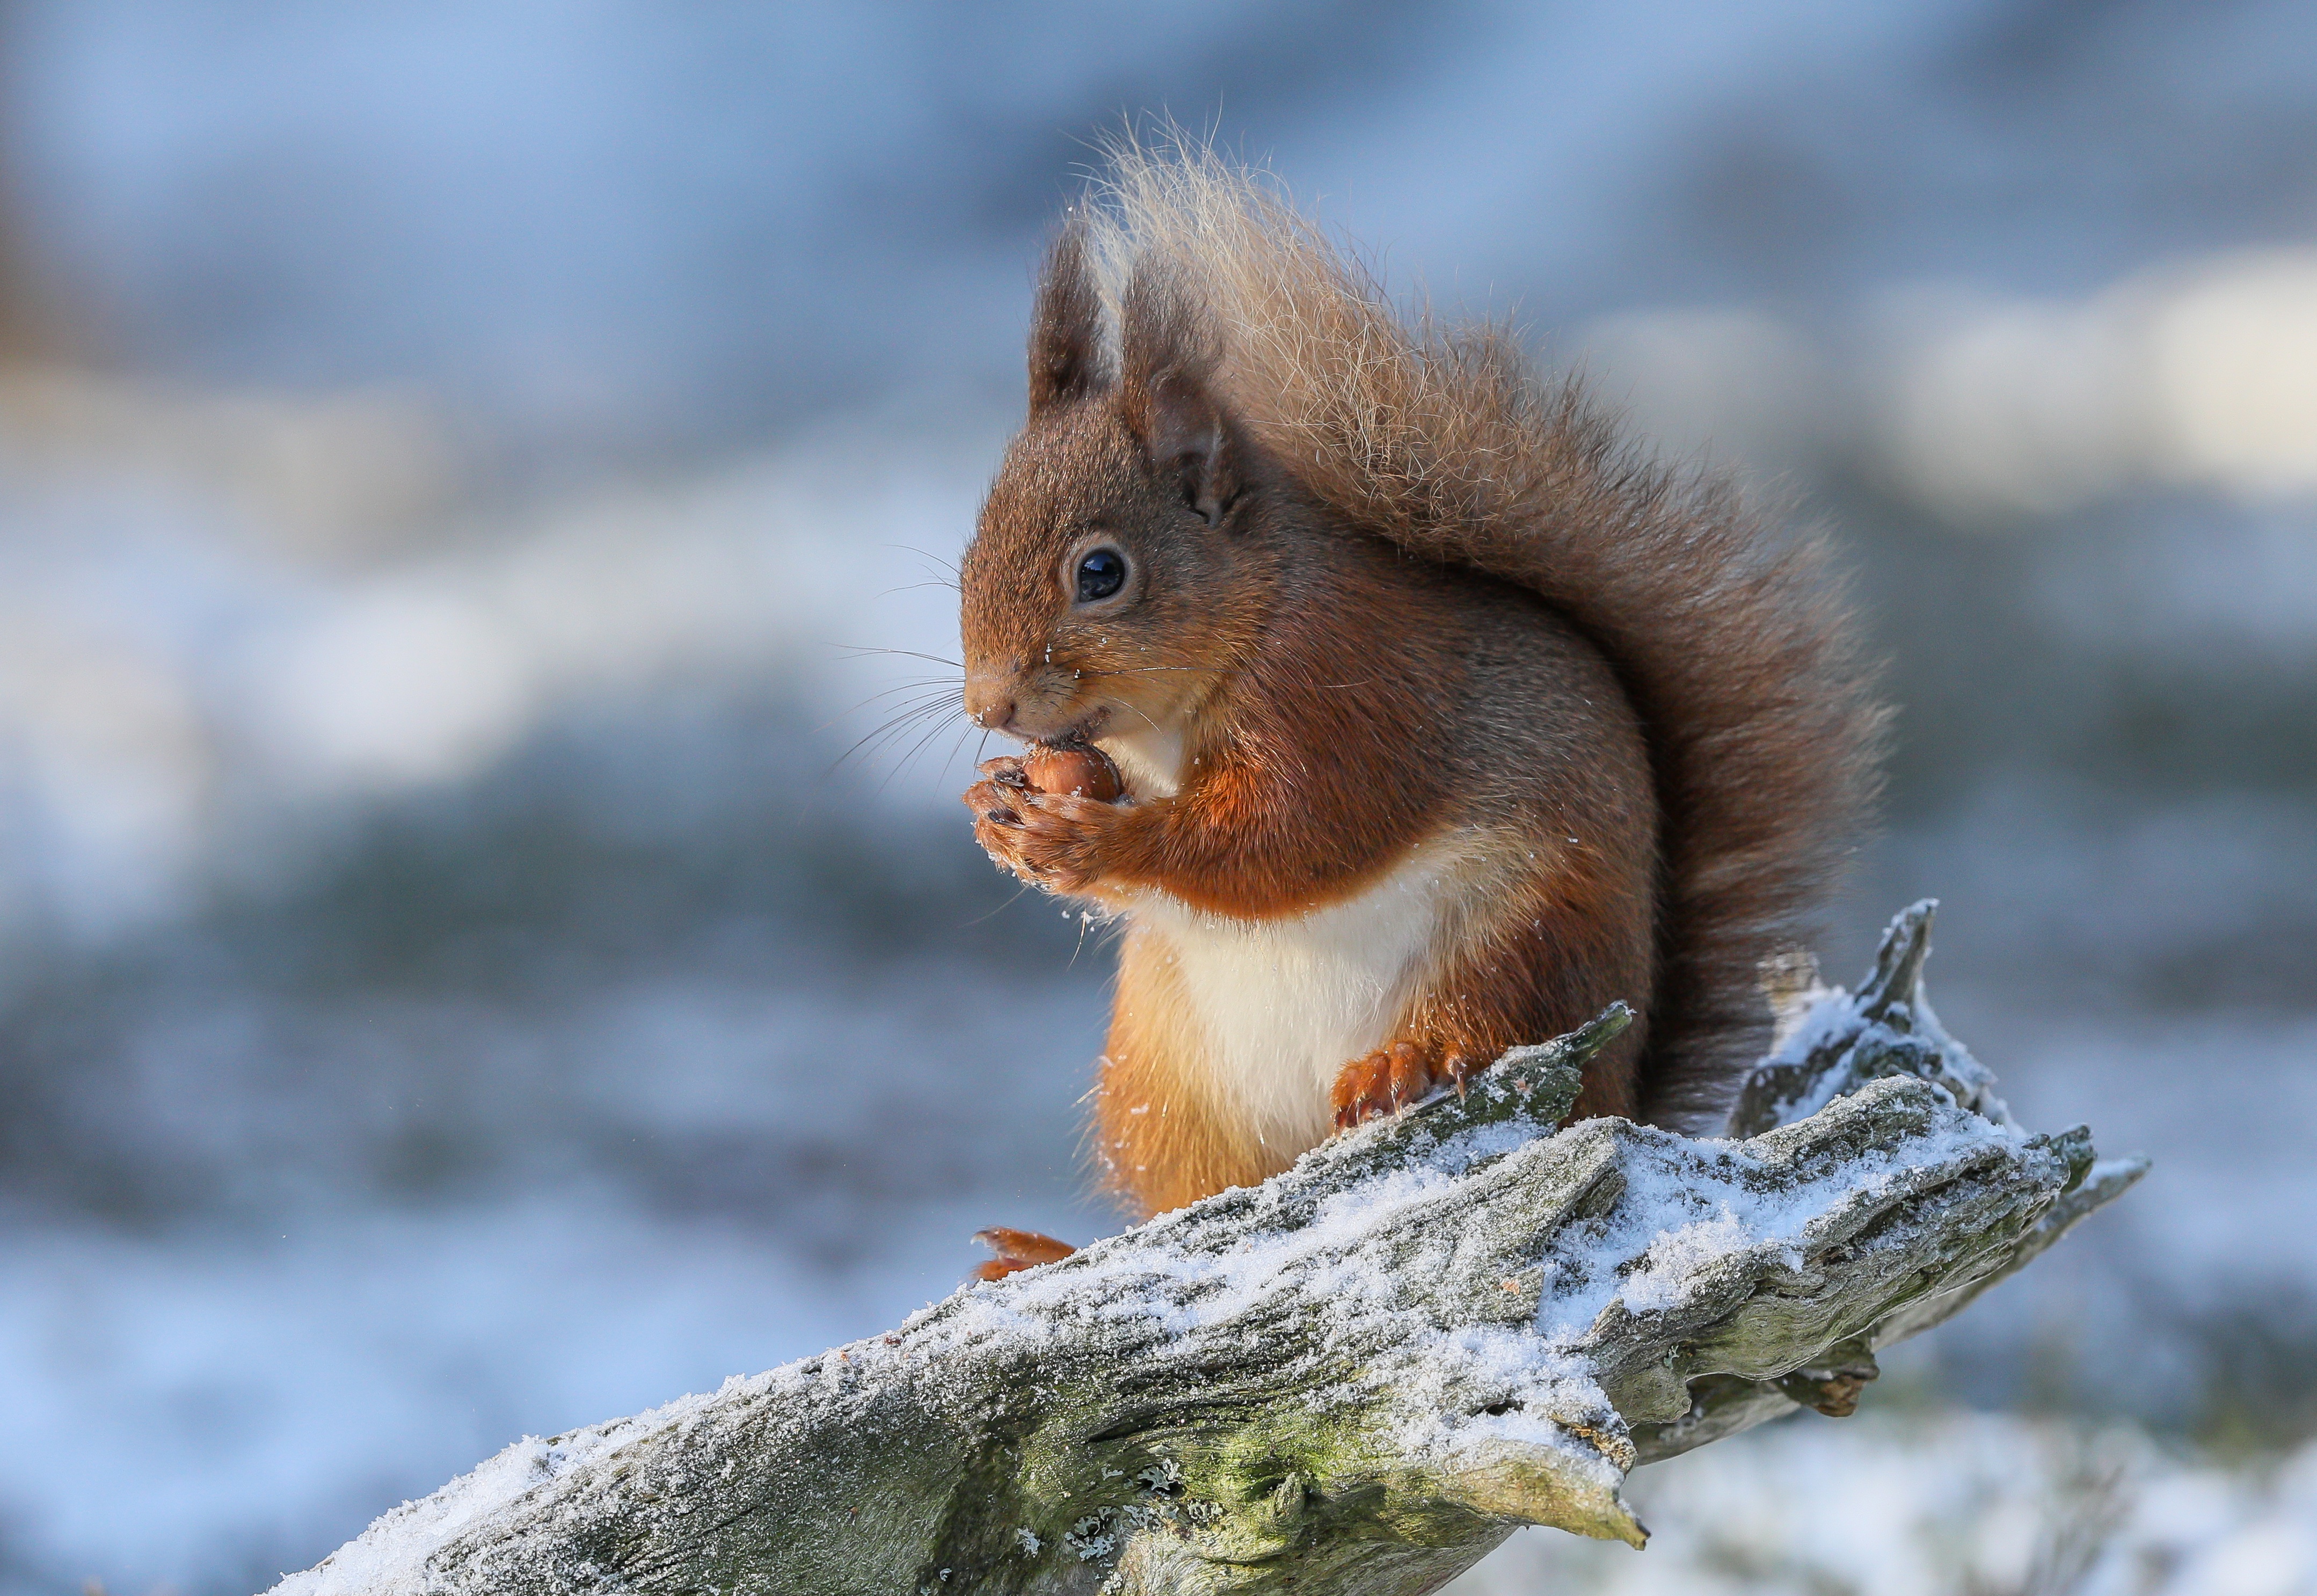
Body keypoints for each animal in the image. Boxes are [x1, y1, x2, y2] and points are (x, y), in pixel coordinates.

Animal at [959, 149, 1881, 1269]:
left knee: (1488, 1018)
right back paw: (1048, 1253)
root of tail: (1624, 1095)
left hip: (1528, 936)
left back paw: (1406, 1062)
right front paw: (996, 808)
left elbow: (1291, 835)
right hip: (1167, 1080)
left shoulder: (1346, 688)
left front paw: (1091, 839)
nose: (990, 704)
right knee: (1195, 1197)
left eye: (1102, 572)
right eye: (970, 543)